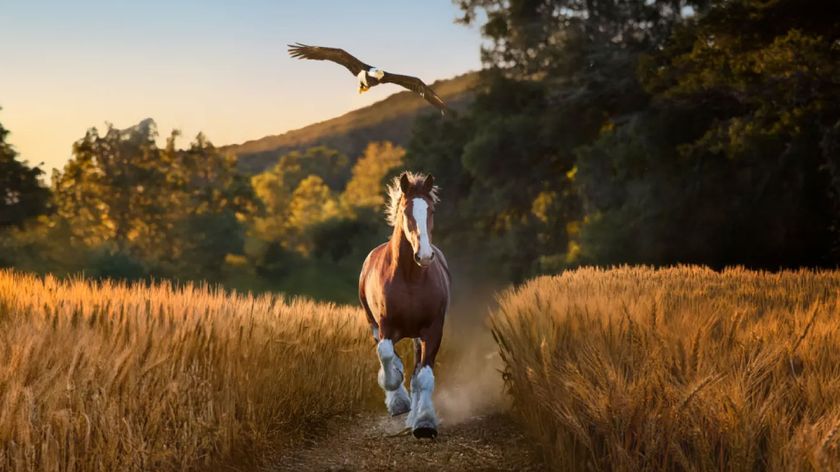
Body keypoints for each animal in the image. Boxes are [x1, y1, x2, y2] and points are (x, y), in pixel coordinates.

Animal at [358, 171, 451, 439]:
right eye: (406, 211)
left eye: (430, 210)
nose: (425, 256)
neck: (411, 277)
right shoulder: (385, 327)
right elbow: (387, 355)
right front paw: (397, 398)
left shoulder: (433, 330)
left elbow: (424, 376)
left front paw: (424, 423)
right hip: (374, 325)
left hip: (418, 336)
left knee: (418, 371)